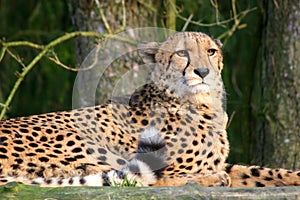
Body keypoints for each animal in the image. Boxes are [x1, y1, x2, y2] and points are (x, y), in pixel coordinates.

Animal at [0, 31, 300, 188]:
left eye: (211, 51)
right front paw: (215, 177)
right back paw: (214, 179)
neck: (200, 102)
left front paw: (292, 177)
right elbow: (168, 177)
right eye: (182, 53)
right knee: (141, 180)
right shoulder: (168, 162)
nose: (202, 71)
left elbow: (259, 171)